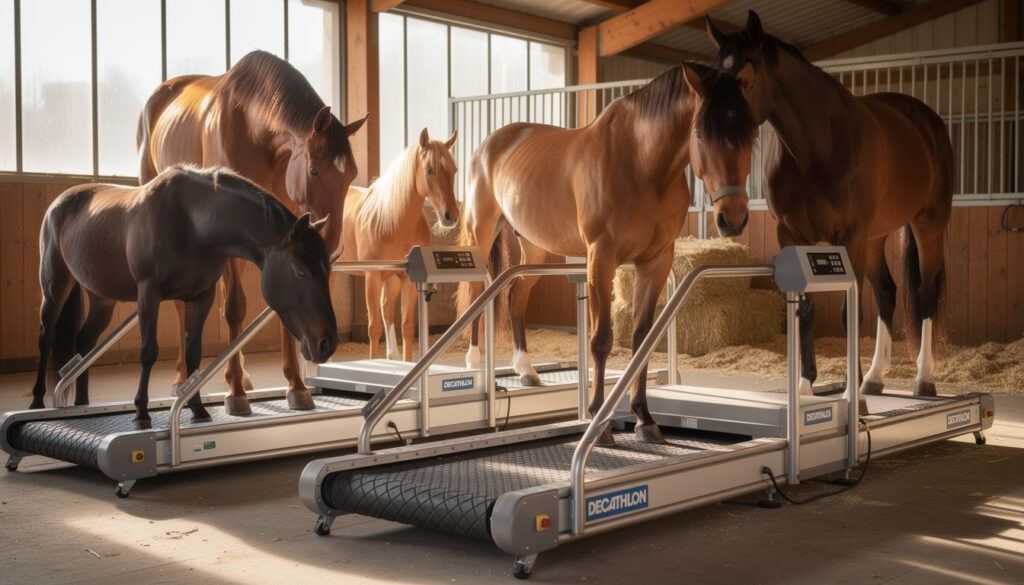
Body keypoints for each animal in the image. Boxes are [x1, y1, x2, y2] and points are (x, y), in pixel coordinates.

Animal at [29, 165, 338, 430]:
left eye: (327, 268)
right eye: (300, 271)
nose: (327, 343)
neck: (191, 223)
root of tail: (60, 202)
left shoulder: (201, 297)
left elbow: (193, 355)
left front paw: (198, 409)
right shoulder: (149, 293)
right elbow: (148, 352)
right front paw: (141, 413)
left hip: (102, 300)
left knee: (85, 342)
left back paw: (82, 403)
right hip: (55, 289)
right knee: (46, 337)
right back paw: (36, 400)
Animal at [137, 50, 366, 415]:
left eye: (351, 175)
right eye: (314, 170)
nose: (332, 245)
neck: (254, 127)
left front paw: (296, 386)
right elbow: (234, 308)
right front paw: (235, 393)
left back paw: (239, 374)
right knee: (181, 305)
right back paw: (183, 377)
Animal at [341, 128, 459, 362]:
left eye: (454, 170)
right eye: (429, 170)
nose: (450, 216)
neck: (391, 220)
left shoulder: (407, 279)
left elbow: (407, 326)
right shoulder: (372, 277)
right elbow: (374, 328)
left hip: (392, 279)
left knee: (387, 308)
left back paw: (392, 355)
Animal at [457, 61, 757, 444]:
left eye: (751, 133)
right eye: (701, 135)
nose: (732, 218)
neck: (642, 164)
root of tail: (490, 145)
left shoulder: (656, 261)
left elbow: (642, 338)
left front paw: (644, 418)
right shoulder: (601, 257)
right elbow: (601, 339)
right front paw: (598, 421)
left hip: (534, 248)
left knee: (516, 298)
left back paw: (526, 370)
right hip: (480, 234)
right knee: (477, 293)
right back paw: (473, 362)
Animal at [708, 12, 954, 397]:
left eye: (747, 78)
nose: (713, 129)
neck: (817, 146)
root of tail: (928, 123)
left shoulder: (849, 236)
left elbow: (848, 312)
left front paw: (849, 392)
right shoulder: (792, 236)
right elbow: (807, 308)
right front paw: (807, 384)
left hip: (928, 223)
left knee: (926, 293)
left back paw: (923, 378)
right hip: (875, 237)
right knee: (887, 293)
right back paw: (874, 378)